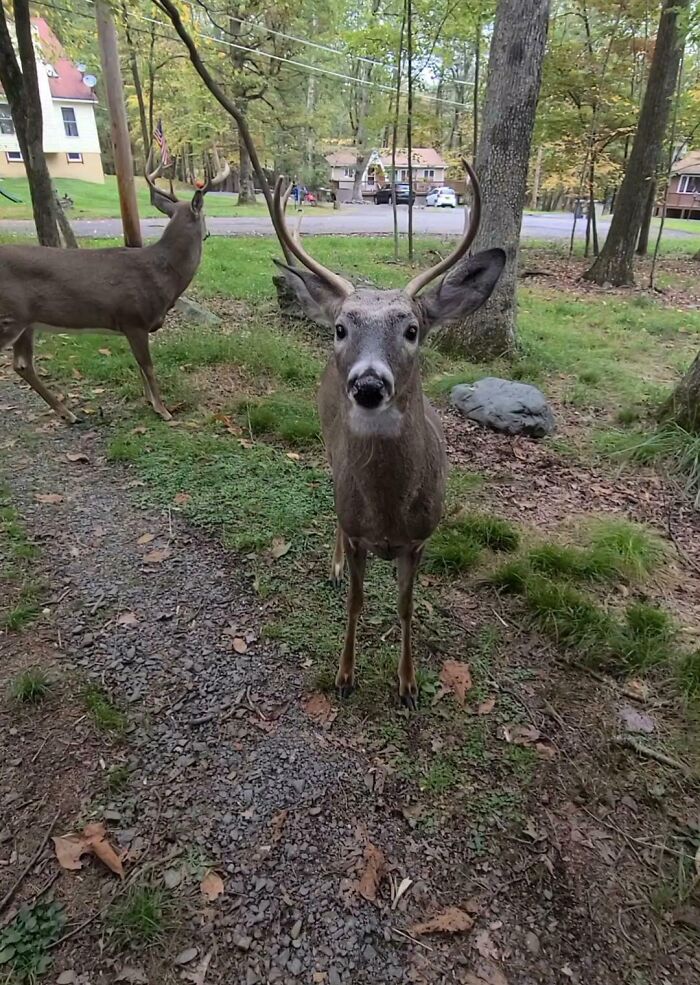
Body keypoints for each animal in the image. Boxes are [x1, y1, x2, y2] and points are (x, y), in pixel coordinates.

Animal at [0, 152, 230, 420]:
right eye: (205, 215)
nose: (208, 233)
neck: (163, 273)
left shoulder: (131, 326)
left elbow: (140, 366)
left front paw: (150, 401)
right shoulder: (134, 319)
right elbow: (148, 366)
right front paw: (163, 410)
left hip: (26, 321)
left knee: (22, 364)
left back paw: (68, 413)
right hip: (10, 316)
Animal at [272, 165, 504, 712]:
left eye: (413, 329)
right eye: (340, 328)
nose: (369, 384)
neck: (387, 514)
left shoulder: (419, 540)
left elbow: (405, 608)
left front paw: (408, 684)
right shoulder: (359, 532)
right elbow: (357, 603)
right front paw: (345, 675)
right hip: (325, 446)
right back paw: (333, 565)